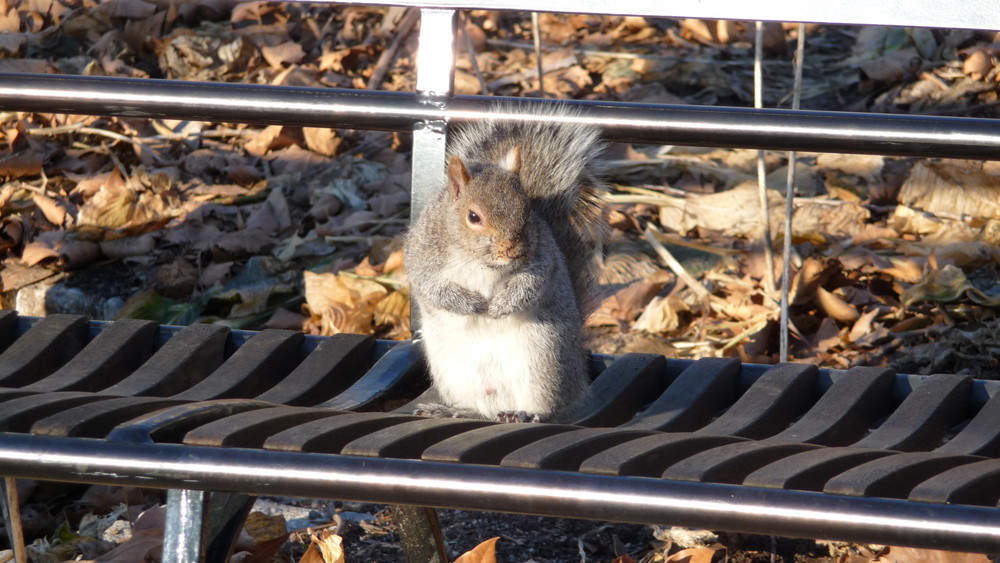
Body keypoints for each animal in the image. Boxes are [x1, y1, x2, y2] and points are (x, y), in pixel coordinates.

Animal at [402, 104, 604, 424]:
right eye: (473, 216)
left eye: (528, 209)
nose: (513, 250)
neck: (478, 260)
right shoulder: (422, 256)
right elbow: (433, 288)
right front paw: (472, 305)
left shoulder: (542, 257)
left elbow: (532, 282)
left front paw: (499, 307)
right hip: (453, 372)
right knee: (478, 409)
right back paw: (452, 409)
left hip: (544, 360)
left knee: (550, 410)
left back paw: (525, 414)